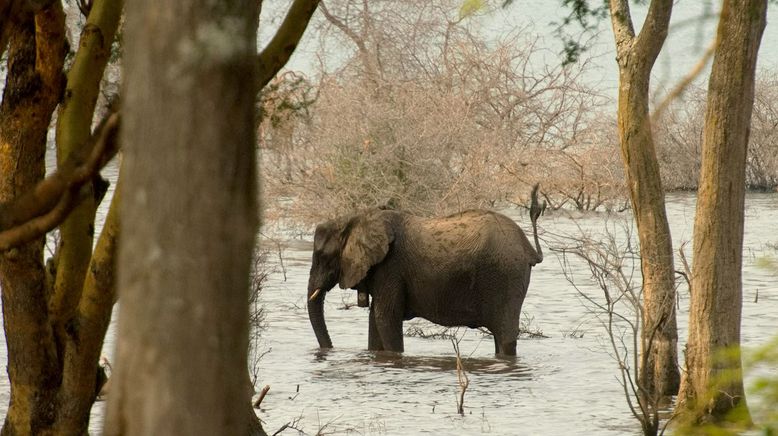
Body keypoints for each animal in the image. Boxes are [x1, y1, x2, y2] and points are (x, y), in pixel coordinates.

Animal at [306, 186, 544, 356]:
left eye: (322, 256)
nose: (329, 350)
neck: (356, 218)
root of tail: (528, 248)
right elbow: (375, 320)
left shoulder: (391, 267)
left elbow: (385, 318)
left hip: (506, 276)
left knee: (505, 336)